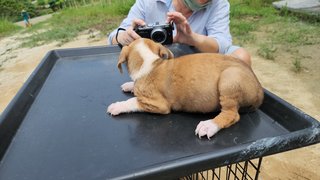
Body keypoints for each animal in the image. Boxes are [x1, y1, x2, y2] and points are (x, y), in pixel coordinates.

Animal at [106, 38, 264, 139]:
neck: (150, 62)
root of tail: (259, 88)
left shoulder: (158, 104)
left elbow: (133, 101)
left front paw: (117, 106)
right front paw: (130, 85)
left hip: (230, 79)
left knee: (231, 114)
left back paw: (209, 125)